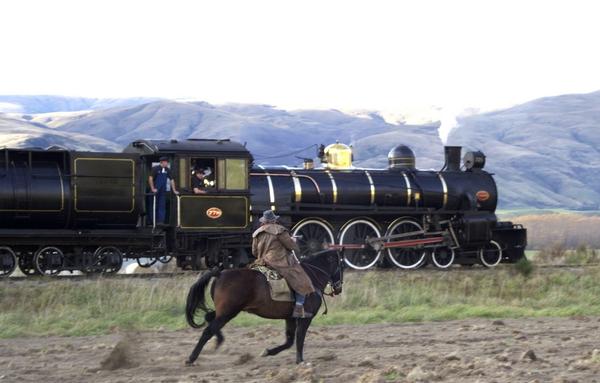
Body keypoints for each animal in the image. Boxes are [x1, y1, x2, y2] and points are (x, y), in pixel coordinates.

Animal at [184, 249, 342, 366]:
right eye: (341, 264)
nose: (339, 288)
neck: (311, 277)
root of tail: (219, 273)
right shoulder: (306, 318)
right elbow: (299, 339)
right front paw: (300, 361)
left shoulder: (290, 318)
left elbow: (289, 341)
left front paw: (268, 352)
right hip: (228, 313)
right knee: (207, 331)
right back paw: (191, 358)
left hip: (224, 311)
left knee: (209, 318)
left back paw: (218, 341)